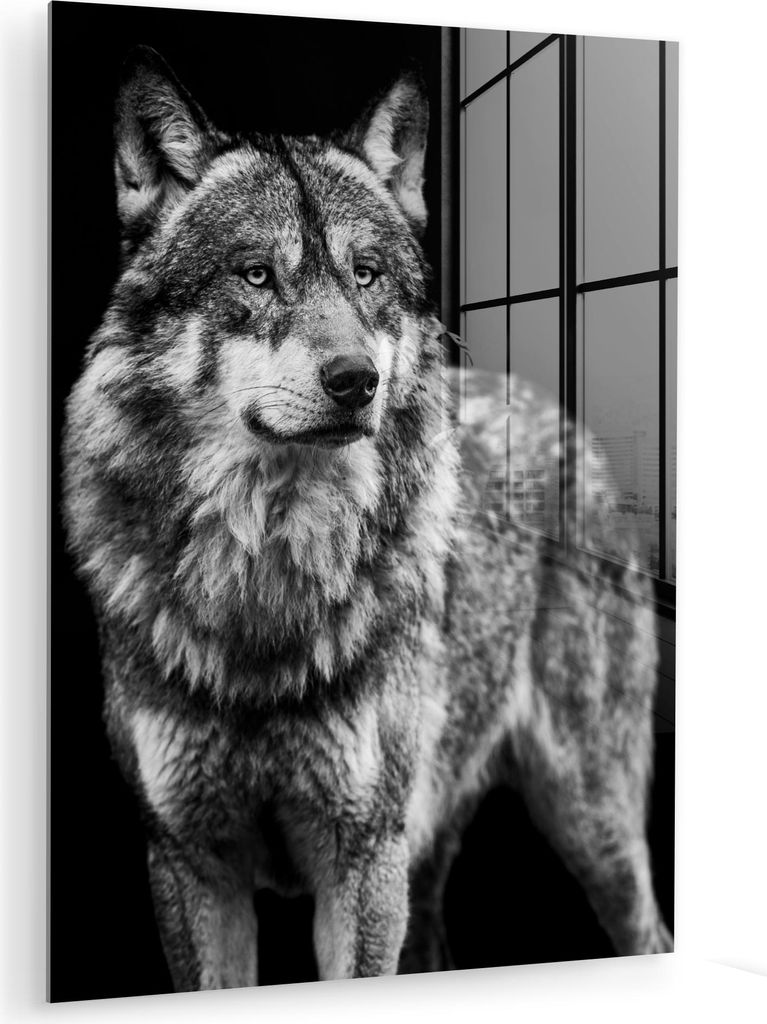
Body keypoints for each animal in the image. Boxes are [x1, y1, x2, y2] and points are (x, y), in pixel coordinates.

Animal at [62, 46, 672, 991]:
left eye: (366, 274)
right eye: (256, 274)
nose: (357, 382)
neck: (268, 574)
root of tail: (550, 405)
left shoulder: (360, 860)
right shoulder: (189, 865)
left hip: (587, 819)